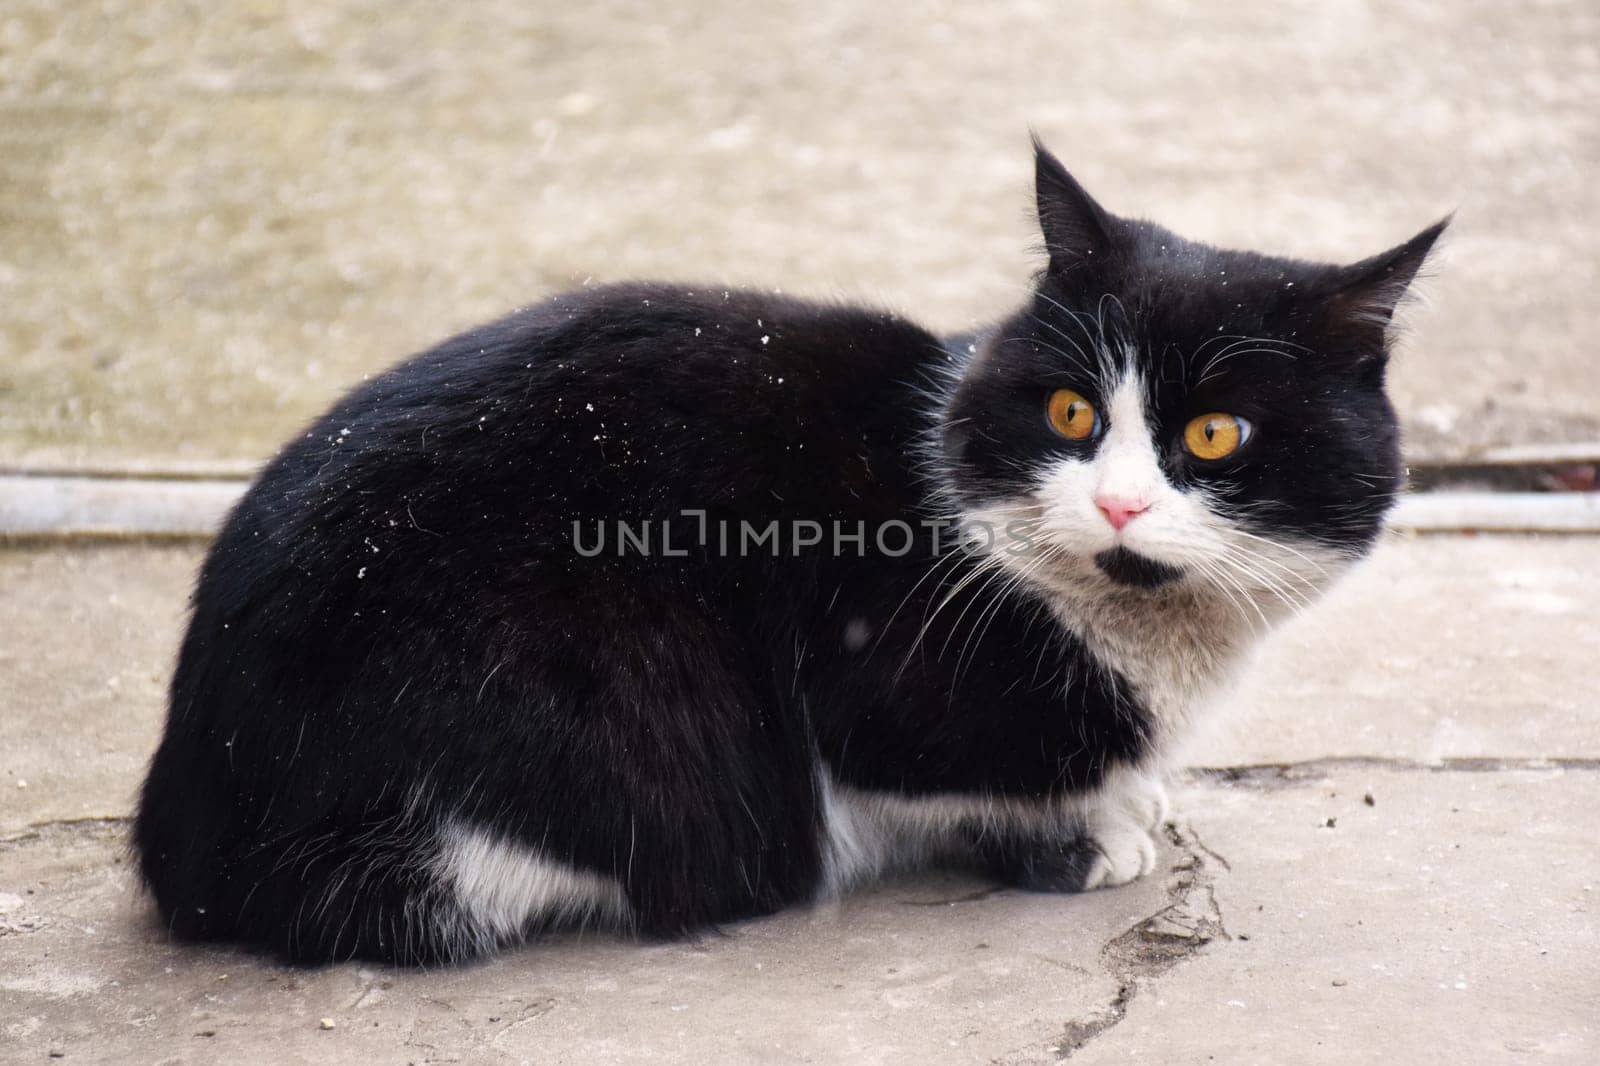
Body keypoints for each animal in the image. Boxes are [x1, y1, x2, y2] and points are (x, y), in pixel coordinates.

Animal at [131, 136, 1446, 960]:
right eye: (1073, 413)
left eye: (1215, 434)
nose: (1119, 507)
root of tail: (191, 800)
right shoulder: (866, 677)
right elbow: (938, 780)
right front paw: (1088, 835)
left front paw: (1132, 795)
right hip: (624, 690)